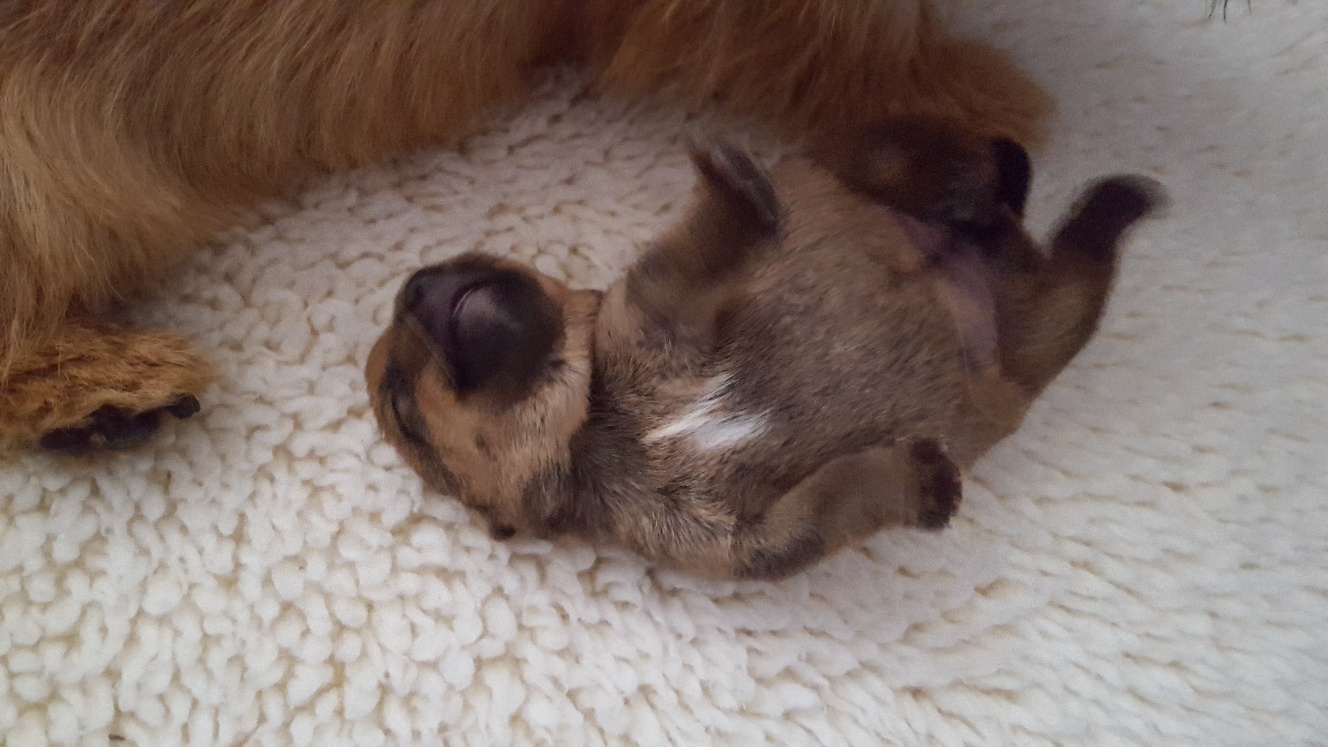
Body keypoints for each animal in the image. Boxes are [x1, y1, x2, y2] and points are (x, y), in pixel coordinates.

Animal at [364, 117, 1165, 580]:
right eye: (400, 406)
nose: (415, 286)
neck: (599, 420)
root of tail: (981, 253)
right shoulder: (750, 538)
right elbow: (834, 500)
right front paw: (925, 482)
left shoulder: (656, 303)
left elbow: (690, 255)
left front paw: (730, 186)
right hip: (1044, 332)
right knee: (1082, 260)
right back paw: (1113, 200)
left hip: (882, 169)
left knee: (933, 148)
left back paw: (987, 180)